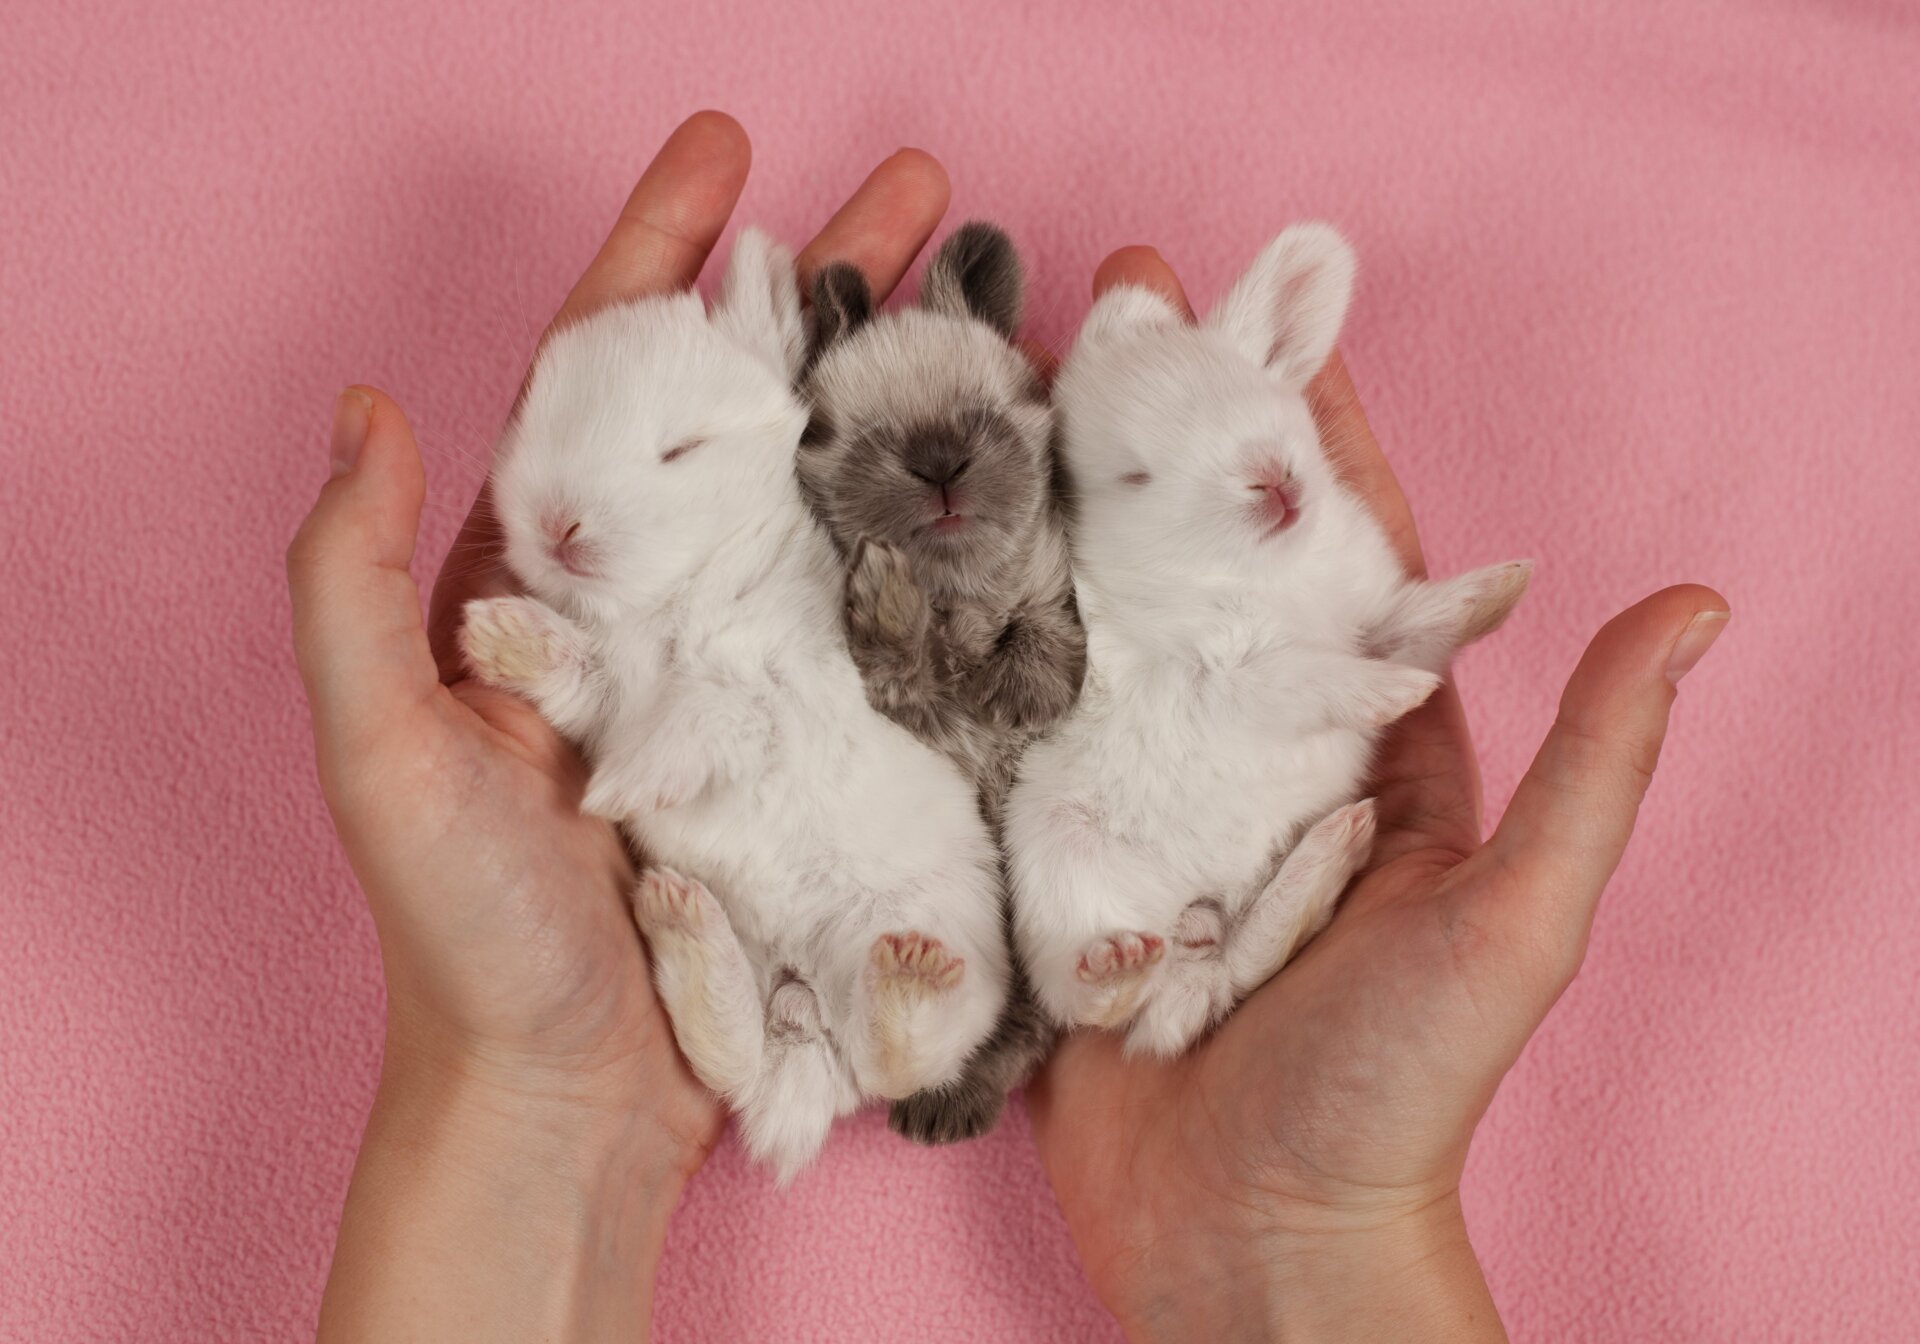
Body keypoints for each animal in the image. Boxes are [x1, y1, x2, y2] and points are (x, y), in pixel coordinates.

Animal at [458, 229, 1010, 1181]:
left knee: (898, 1061)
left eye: (682, 449)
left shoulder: (775, 685)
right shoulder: (607, 689)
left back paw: (906, 980)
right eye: (534, 423)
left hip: (937, 925)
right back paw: (684, 926)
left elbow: (711, 715)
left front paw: (622, 787)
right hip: (771, 989)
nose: (556, 524)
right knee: (738, 1057)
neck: (678, 595)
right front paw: (497, 635)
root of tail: (802, 1000)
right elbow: (575, 672)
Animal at [799, 222, 1085, 1144]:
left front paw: (1017, 688)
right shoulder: (912, 715)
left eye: (982, 418)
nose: (940, 464)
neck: (957, 605)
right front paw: (889, 599)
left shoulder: (1054, 595)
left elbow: (1048, 635)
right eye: (862, 436)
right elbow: (900, 664)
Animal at [1005, 223, 1533, 1059]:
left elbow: (1417, 629)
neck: (1273, 575)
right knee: (1106, 1004)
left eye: (1248, 389)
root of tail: (1198, 927)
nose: (1271, 478)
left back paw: (1323, 865)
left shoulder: (1369, 622)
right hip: (1060, 861)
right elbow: (1310, 680)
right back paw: (1118, 965)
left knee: (1244, 962)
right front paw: (1394, 696)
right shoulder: (1224, 679)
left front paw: (1501, 589)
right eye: (1134, 476)